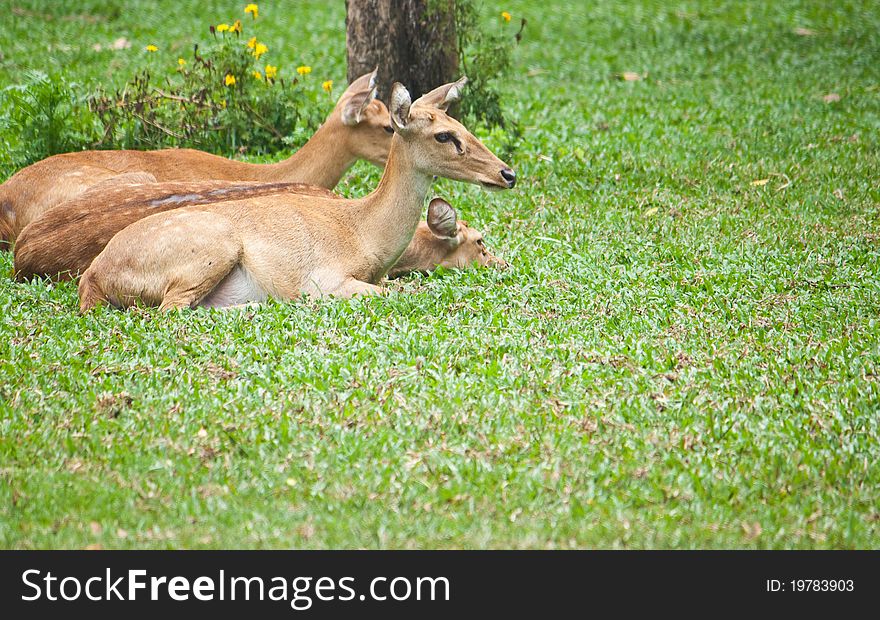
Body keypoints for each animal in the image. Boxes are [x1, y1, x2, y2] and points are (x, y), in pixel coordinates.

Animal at [79, 75, 516, 312]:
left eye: (459, 123)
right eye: (443, 135)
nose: (507, 173)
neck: (365, 235)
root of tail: (93, 278)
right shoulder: (327, 277)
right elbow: (395, 292)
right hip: (209, 247)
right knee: (172, 309)